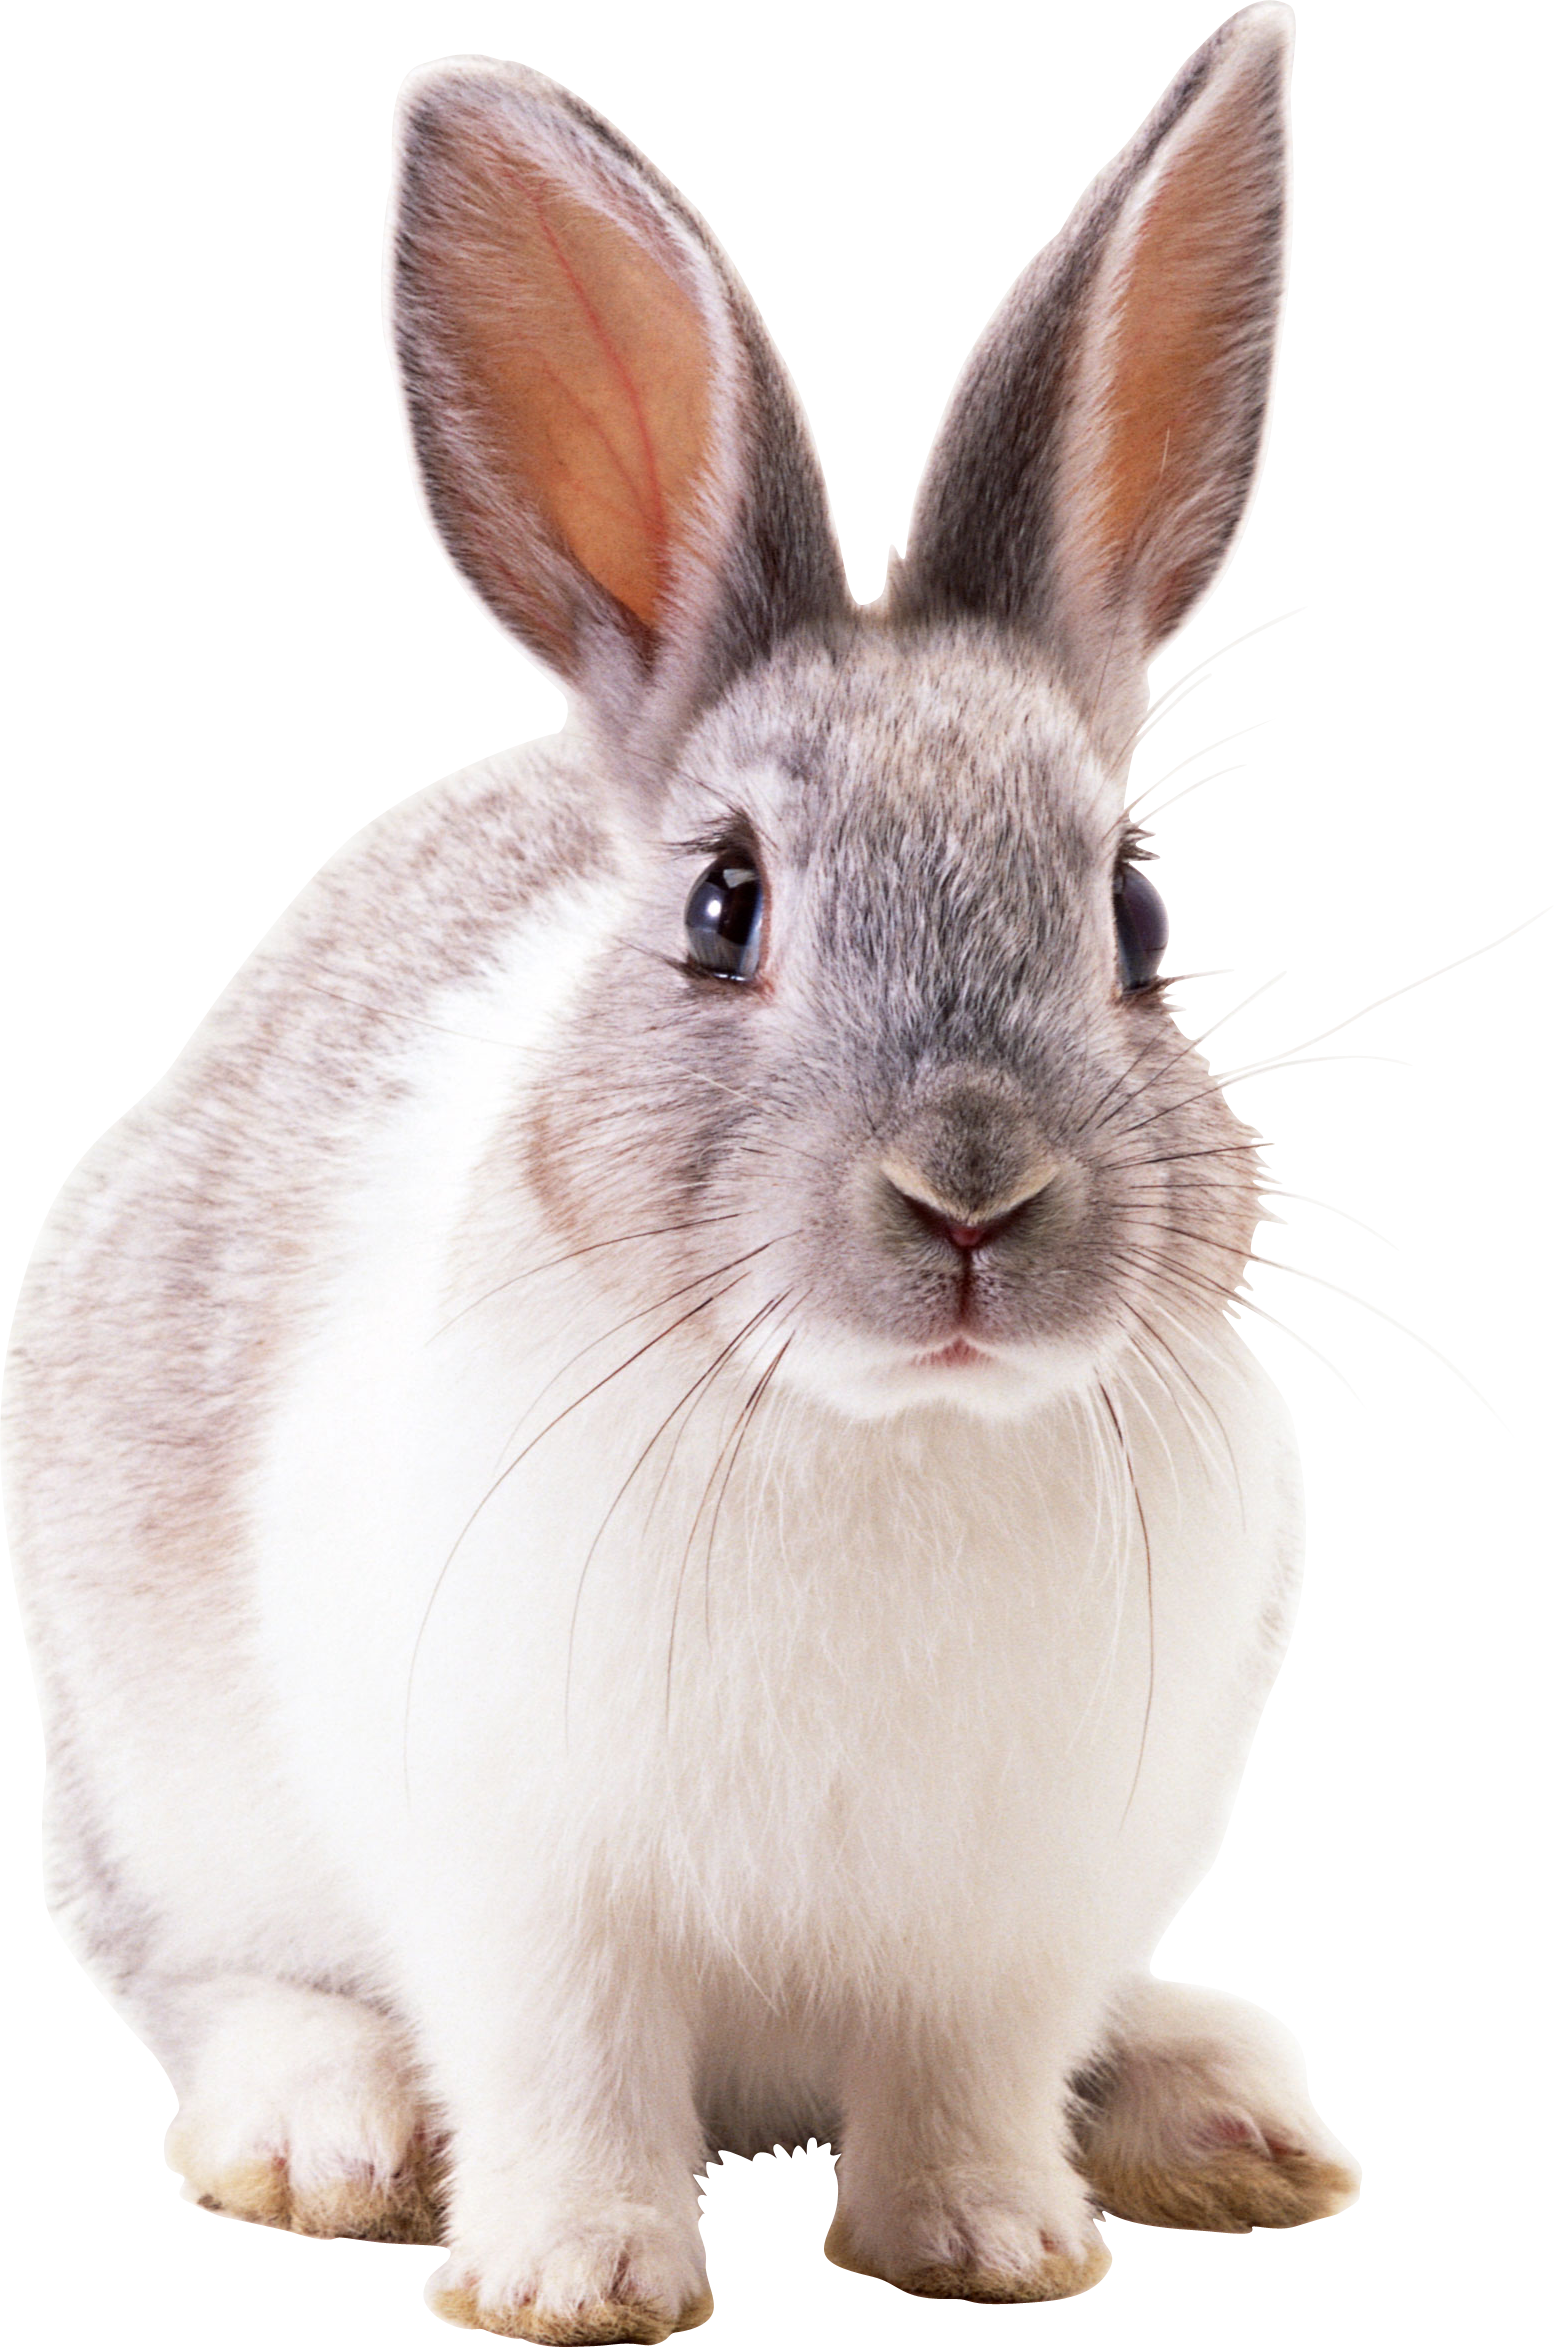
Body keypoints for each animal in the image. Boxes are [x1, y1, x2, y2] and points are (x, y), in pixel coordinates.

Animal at [11, 9, 1353, 2339]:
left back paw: (1217, 2111)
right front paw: (577, 2273)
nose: (970, 1195)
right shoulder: (522, 1882)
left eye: (1136, 916)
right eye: (724, 907)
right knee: (216, 1983)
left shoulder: (1018, 1909)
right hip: (160, 1806)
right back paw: (320, 2126)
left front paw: (990, 2244)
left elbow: (972, 2074)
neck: (883, 1430)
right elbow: (563, 2065)